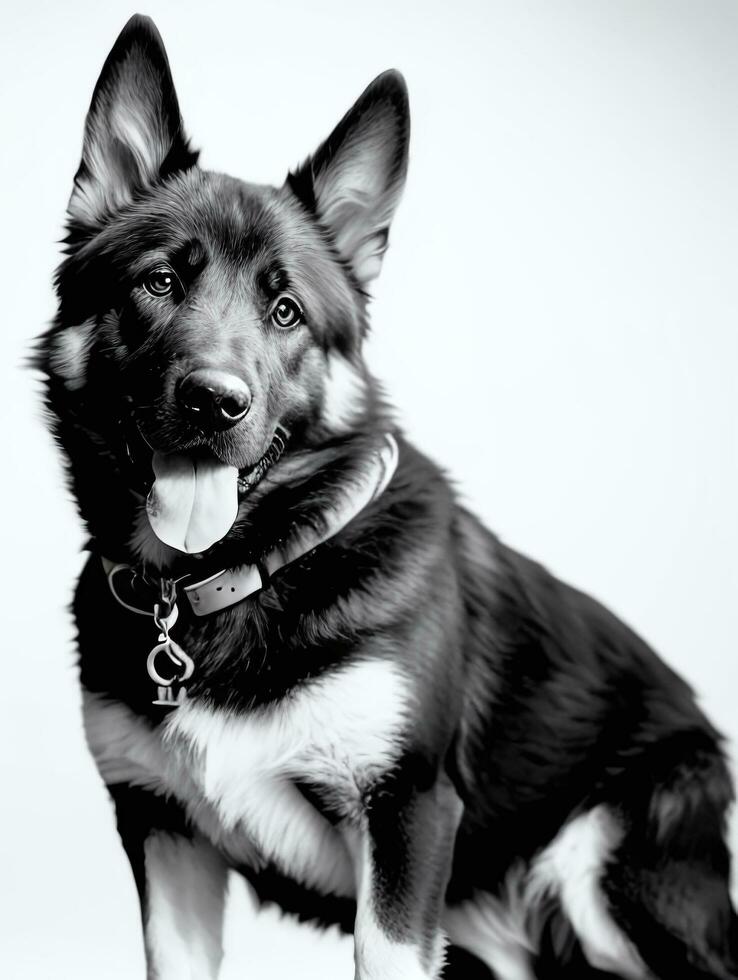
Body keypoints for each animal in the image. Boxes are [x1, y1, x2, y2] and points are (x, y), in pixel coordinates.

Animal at [38, 15, 736, 980]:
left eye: (286, 311)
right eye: (159, 282)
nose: (214, 402)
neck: (247, 573)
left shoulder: (405, 820)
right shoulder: (166, 838)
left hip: (606, 884)